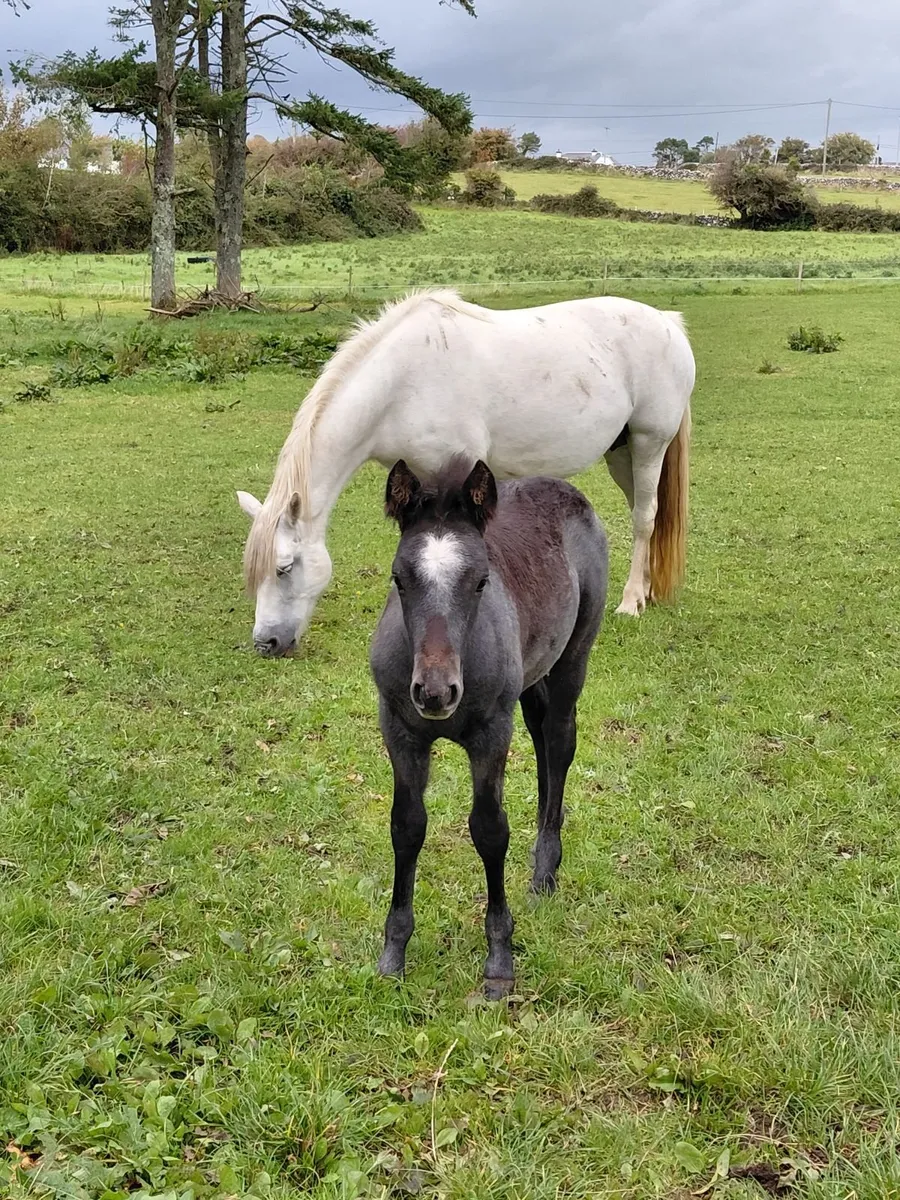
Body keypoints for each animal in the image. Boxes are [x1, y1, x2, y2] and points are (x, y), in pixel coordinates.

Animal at [237, 288, 693, 657]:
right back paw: (646, 591)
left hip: (649, 444)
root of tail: (668, 322)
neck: (402, 383)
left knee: (644, 518)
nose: (266, 643)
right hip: (623, 453)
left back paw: (631, 602)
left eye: (284, 567)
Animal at [368, 456, 608, 998]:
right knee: (541, 742)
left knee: (559, 742)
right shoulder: (400, 731)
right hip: (532, 677)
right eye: (398, 579)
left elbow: (489, 830)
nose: (436, 692)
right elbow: (406, 826)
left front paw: (499, 960)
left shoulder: (491, 734)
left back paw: (545, 871)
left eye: (481, 580)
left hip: (572, 659)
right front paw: (394, 953)